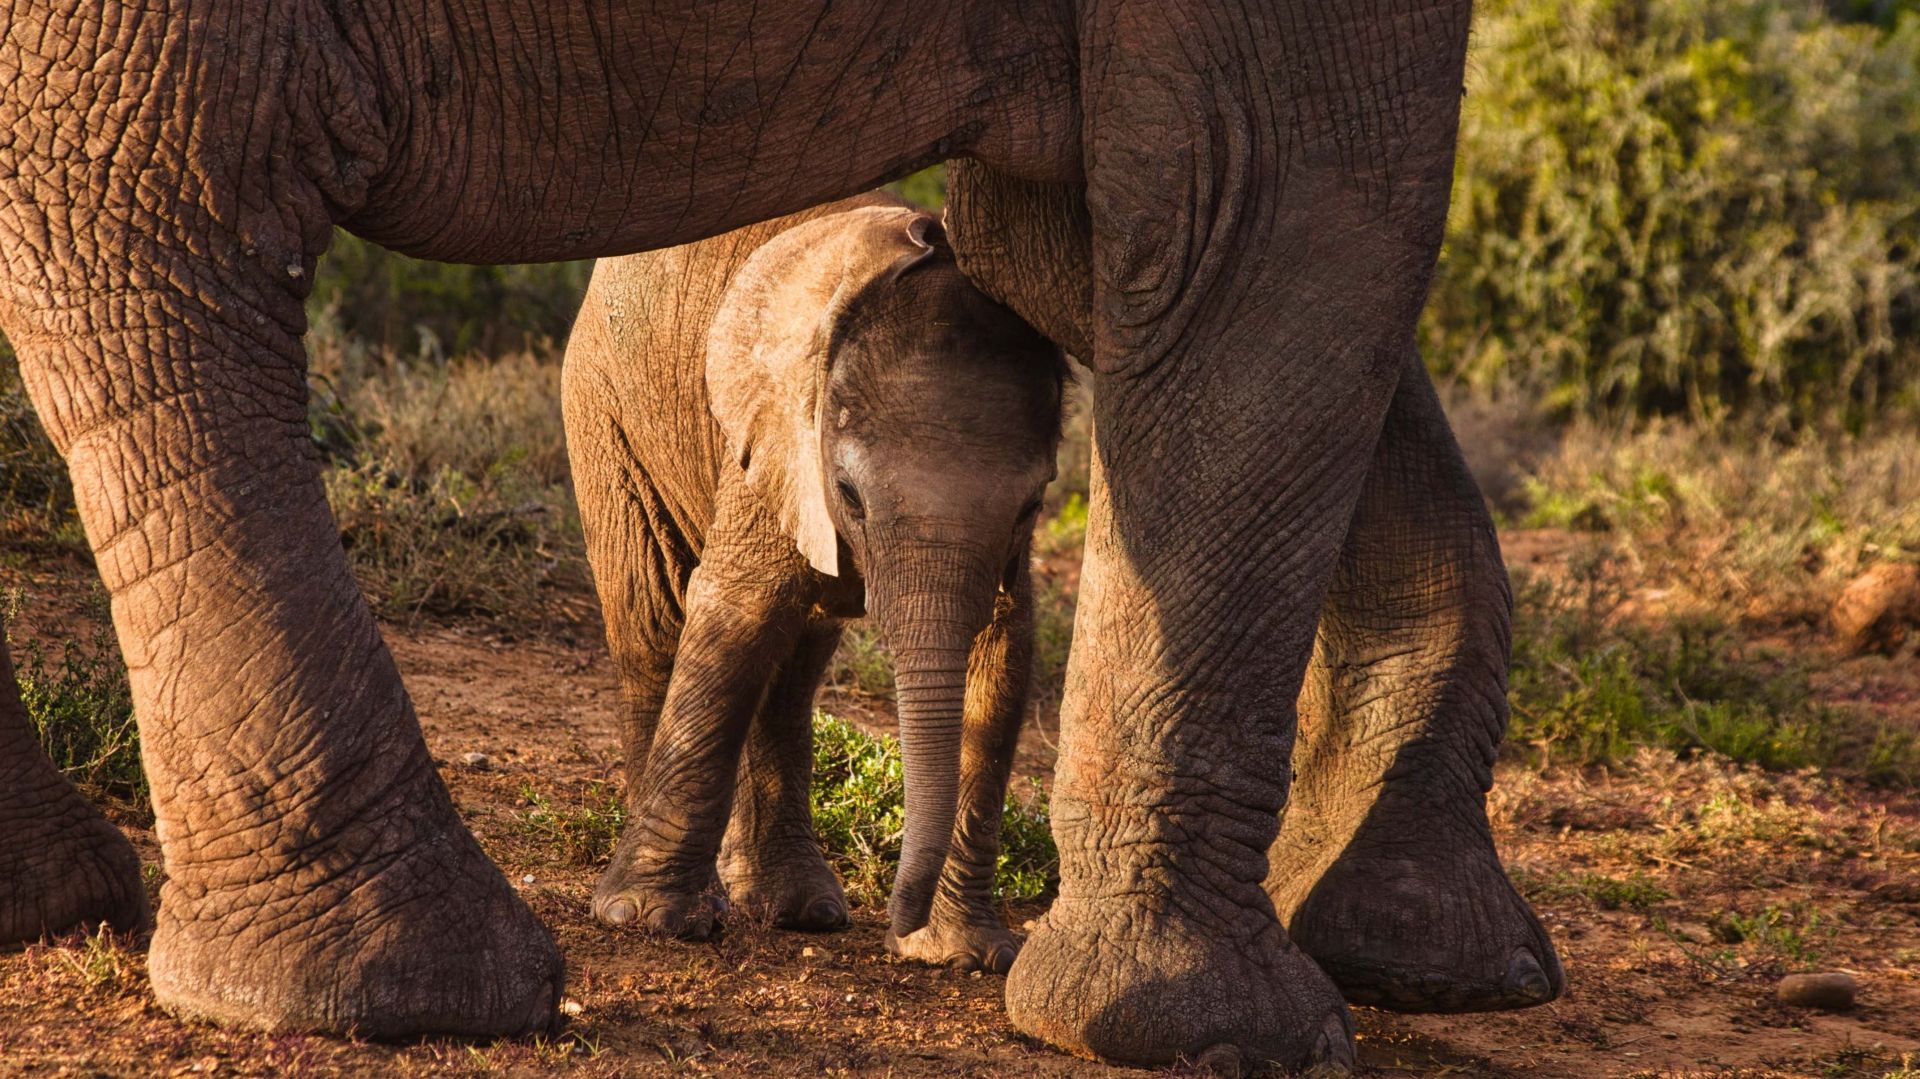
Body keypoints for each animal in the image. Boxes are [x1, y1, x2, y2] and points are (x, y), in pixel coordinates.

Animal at [560, 189, 1067, 971]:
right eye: (849, 494)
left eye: (1033, 504)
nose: (899, 926)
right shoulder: (775, 441)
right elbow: (734, 612)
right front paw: (653, 921)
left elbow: (1006, 651)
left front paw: (963, 953)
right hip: (603, 409)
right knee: (651, 627)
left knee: (793, 666)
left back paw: (795, 910)